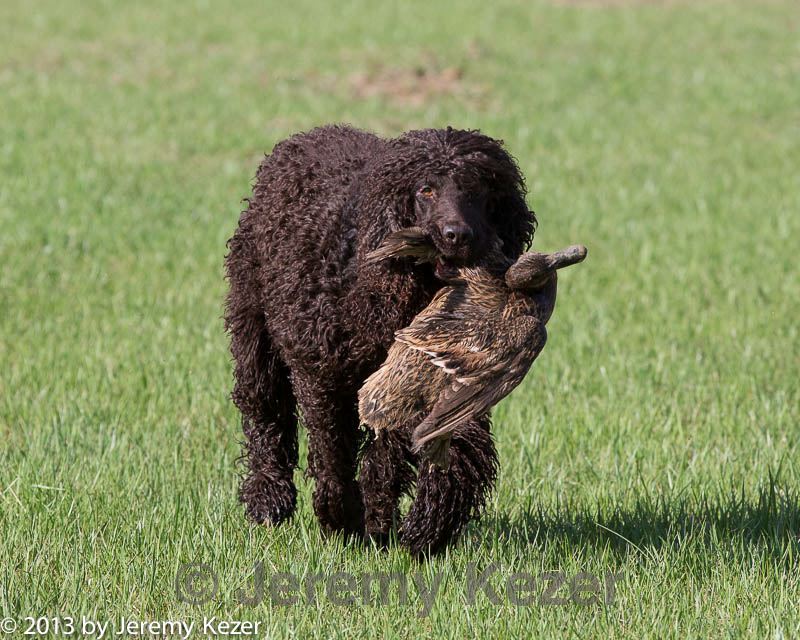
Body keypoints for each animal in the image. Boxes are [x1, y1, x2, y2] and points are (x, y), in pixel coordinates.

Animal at [225, 125, 536, 556]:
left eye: (478, 190)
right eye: (426, 190)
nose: (457, 235)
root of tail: (306, 136)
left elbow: (410, 459)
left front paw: (410, 526)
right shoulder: (321, 376)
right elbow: (333, 452)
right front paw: (341, 518)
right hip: (255, 333)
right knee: (265, 413)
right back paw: (268, 497)